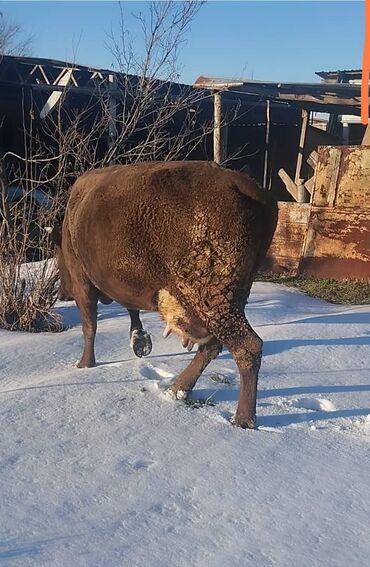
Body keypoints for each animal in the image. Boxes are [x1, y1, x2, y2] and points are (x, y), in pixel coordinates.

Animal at [52, 159, 278, 426]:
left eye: (59, 257)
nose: (62, 293)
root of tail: (253, 192)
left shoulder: (83, 283)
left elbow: (90, 326)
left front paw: (84, 364)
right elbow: (131, 310)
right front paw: (139, 341)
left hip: (215, 302)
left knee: (247, 346)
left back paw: (243, 419)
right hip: (222, 302)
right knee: (213, 345)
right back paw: (176, 390)